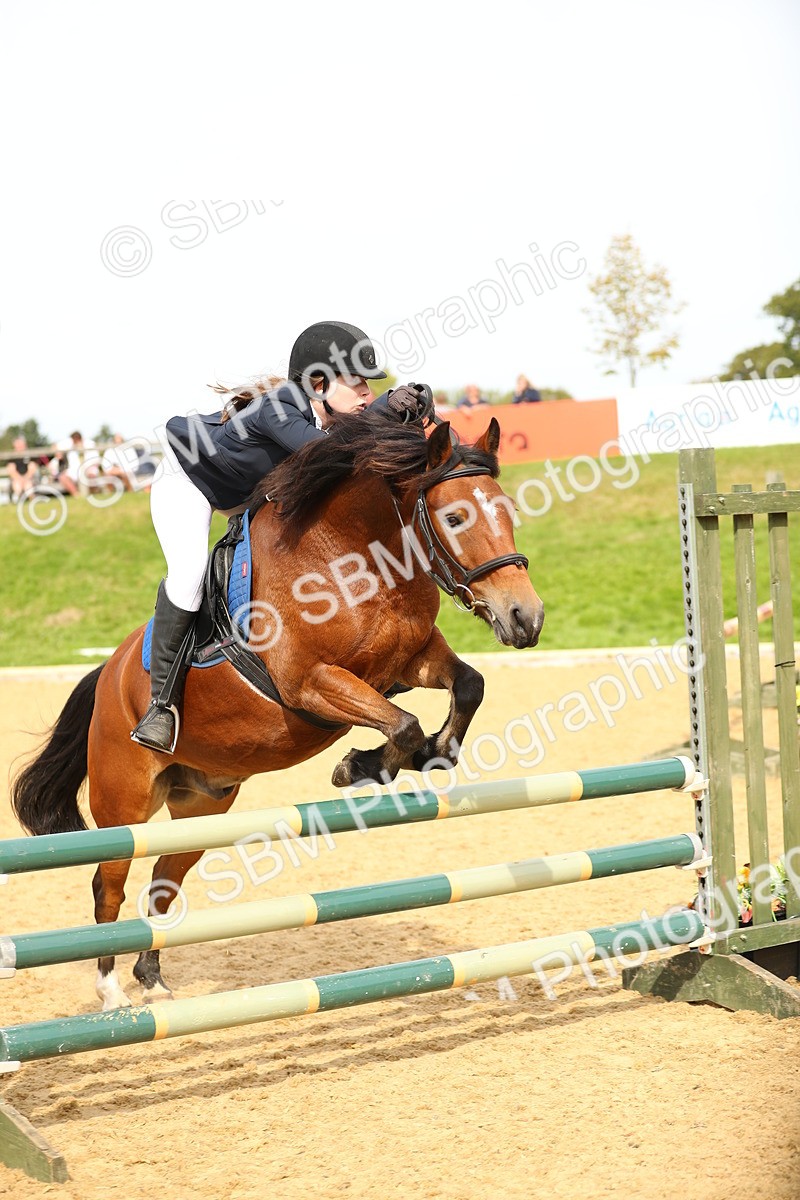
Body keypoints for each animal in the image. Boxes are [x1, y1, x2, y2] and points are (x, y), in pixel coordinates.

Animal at [11, 414, 544, 1010]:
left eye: (508, 511)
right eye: (454, 517)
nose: (525, 618)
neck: (358, 555)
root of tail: (108, 672)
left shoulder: (409, 660)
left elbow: (467, 686)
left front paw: (429, 754)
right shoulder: (310, 683)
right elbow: (402, 723)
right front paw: (360, 766)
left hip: (203, 804)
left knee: (165, 880)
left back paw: (152, 976)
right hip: (123, 803)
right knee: (109, 883)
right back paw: (111, 991)